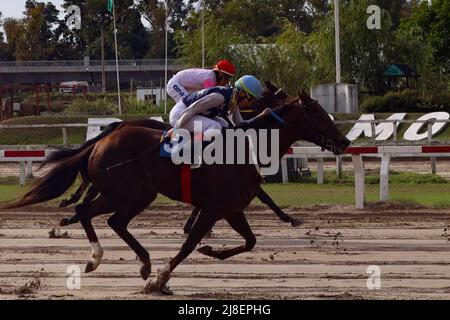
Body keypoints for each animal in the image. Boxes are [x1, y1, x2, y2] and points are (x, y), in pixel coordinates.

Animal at [4, 90, 352, 296]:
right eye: (317, 114)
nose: (345, 142)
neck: (246, 146)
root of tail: (102, 140)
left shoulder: (231, 208)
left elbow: (250, 241)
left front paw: (210, 252)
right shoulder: (213, 208)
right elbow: (188, 244)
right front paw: (161, 278)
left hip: (140, 195)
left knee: (115, 221)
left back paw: (142, 262)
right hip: (121, 192)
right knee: (87, 212)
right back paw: (94, 257)